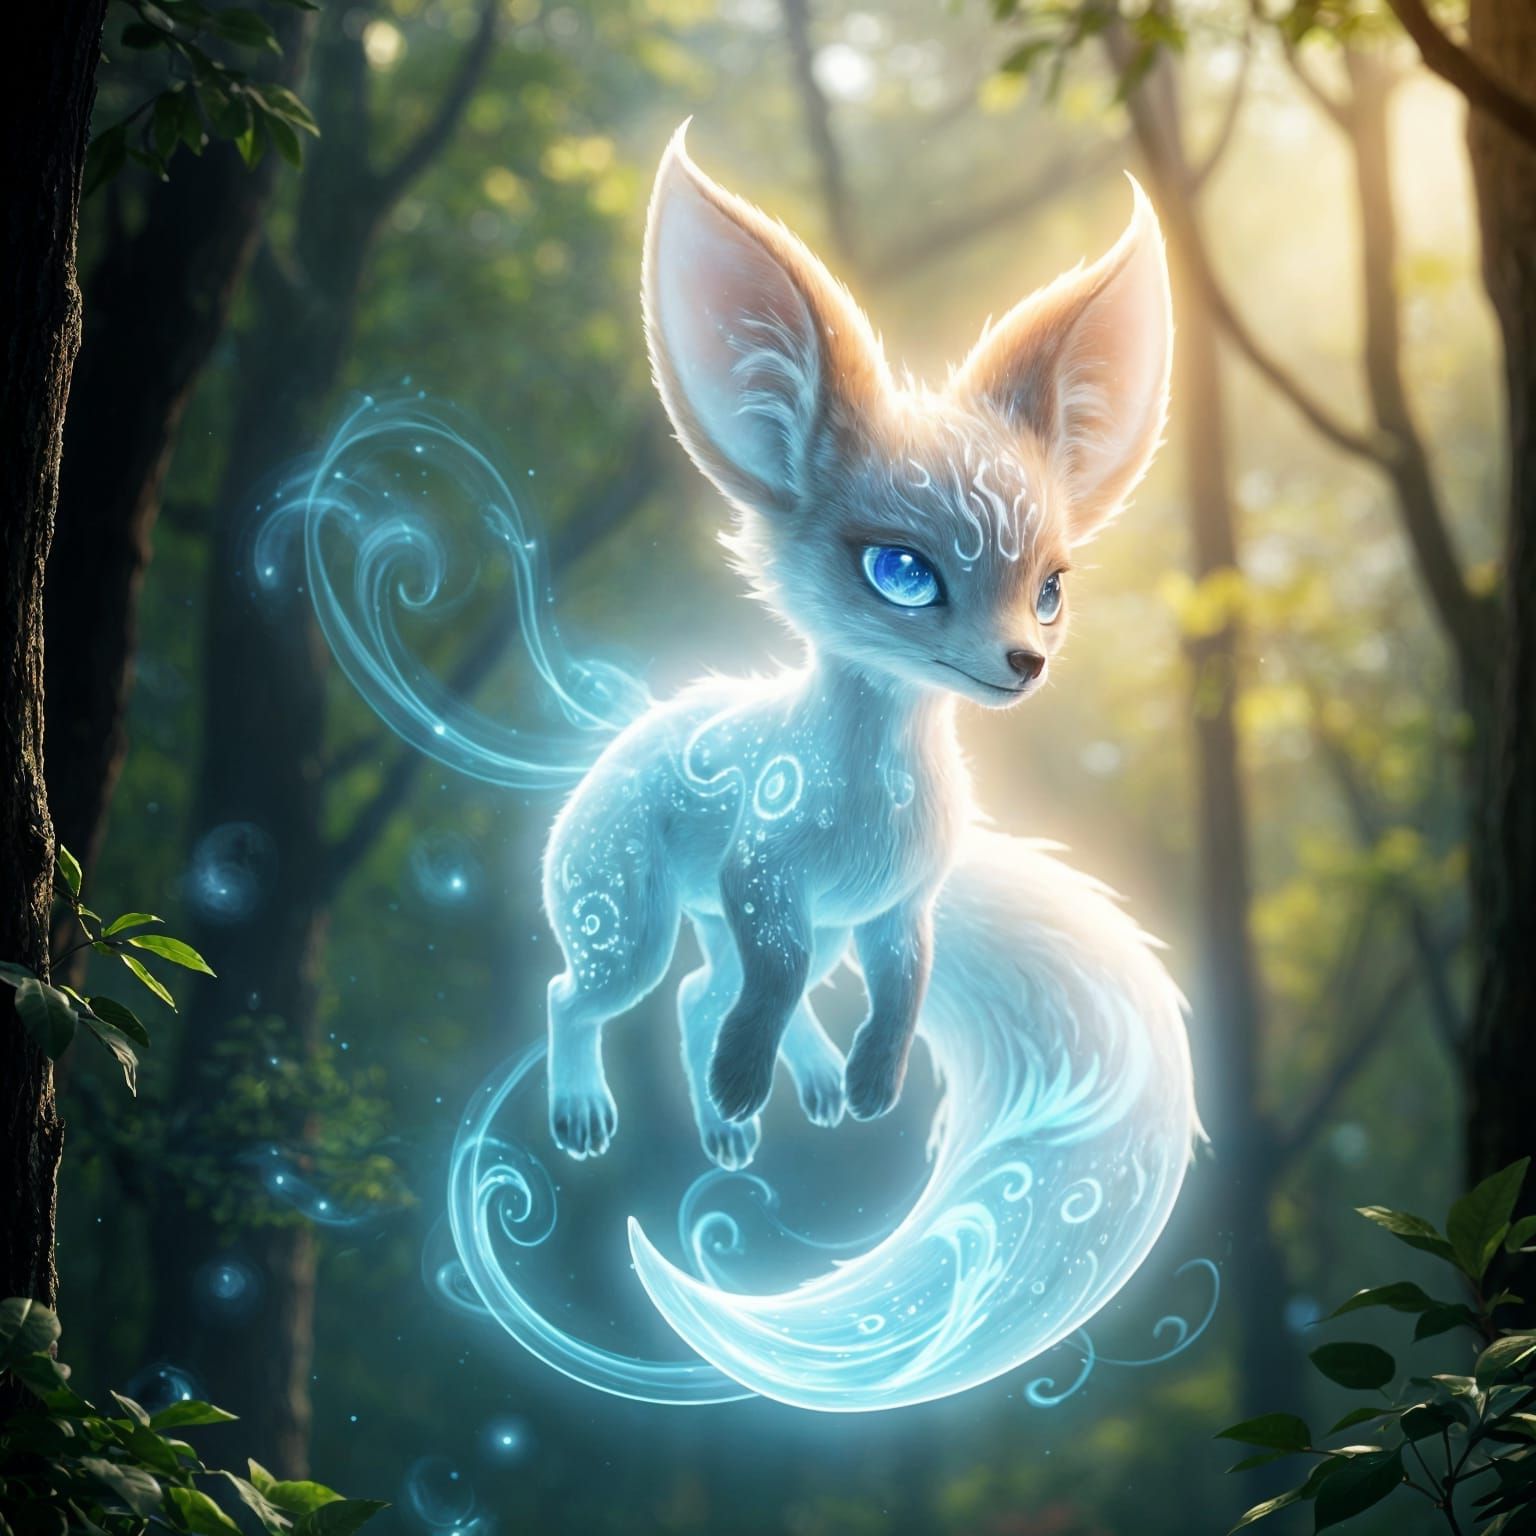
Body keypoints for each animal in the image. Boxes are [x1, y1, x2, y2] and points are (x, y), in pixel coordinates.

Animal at [540, 124, 1176, 1172]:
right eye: (901, 572)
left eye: (1050, 590)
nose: (1026, 663)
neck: (885, 790)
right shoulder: (762, 873)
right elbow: (778, 972)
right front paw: (744, 1077)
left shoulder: (894, 905)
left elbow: (903, 983)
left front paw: (871, 1085)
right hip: (626, 913)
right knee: (584, 992)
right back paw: (600, 1113)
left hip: (746, 920)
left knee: (697, 993)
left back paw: (769, 1108)